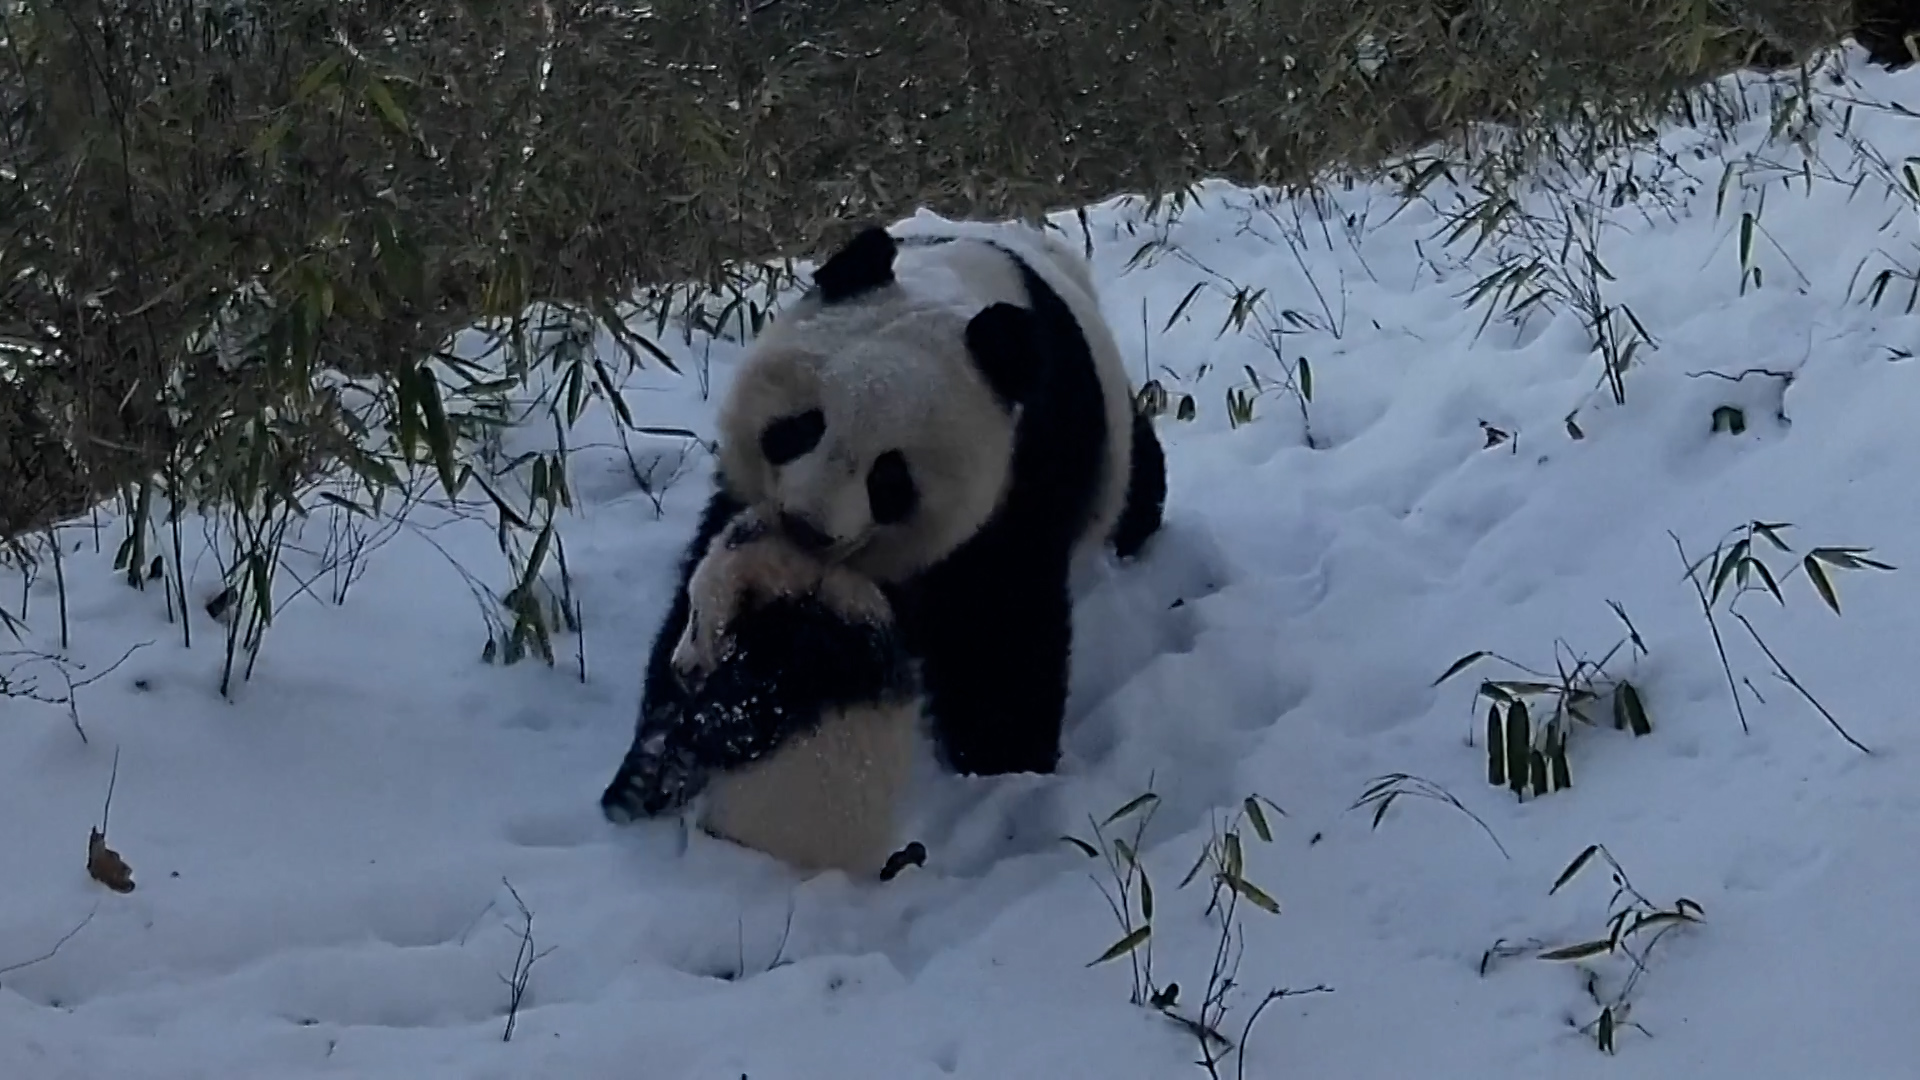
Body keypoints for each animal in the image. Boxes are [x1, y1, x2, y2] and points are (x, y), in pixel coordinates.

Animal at [601, 213, 1165, 826]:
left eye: (890, 477)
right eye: (802, 427)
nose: (805, 526)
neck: (947, 297)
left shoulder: (1026, 468)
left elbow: (1001, 627)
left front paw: (1001, 766)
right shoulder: (747, 499)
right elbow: (706, 598)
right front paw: (655, 766)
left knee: (1141, 487)